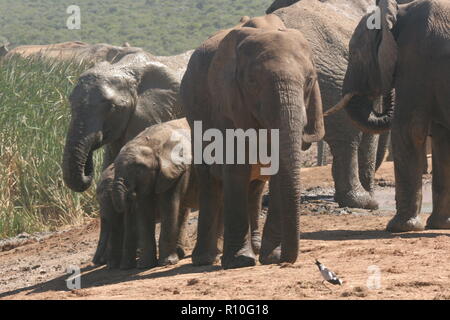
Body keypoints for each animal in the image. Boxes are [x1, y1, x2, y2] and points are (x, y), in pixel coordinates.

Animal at [181, 15, 326, 270]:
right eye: (252, 82)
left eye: (310, 80)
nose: (285, 262)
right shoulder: (225, 102)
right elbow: (235, 166)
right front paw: (239, 261)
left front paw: (271, 256)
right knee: (211, 180)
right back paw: (206, 258)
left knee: (255, 186)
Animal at [328, 0, 448, 231]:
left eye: (353, 54)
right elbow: (441, 136)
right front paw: (438, 225)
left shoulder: (415, 57)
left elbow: (410, 130)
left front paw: (399, 227)